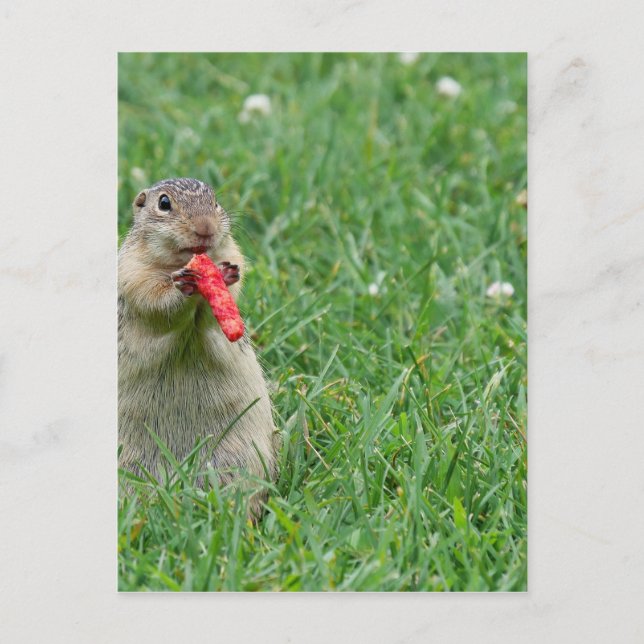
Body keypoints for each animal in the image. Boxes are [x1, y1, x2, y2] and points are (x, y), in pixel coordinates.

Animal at [118, 177, 278, 516]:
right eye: (164, 203)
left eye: (215, 201)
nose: (205, 228)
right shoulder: (133, 274)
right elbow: (157, 303)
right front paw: (183, 286)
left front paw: (225, 275)